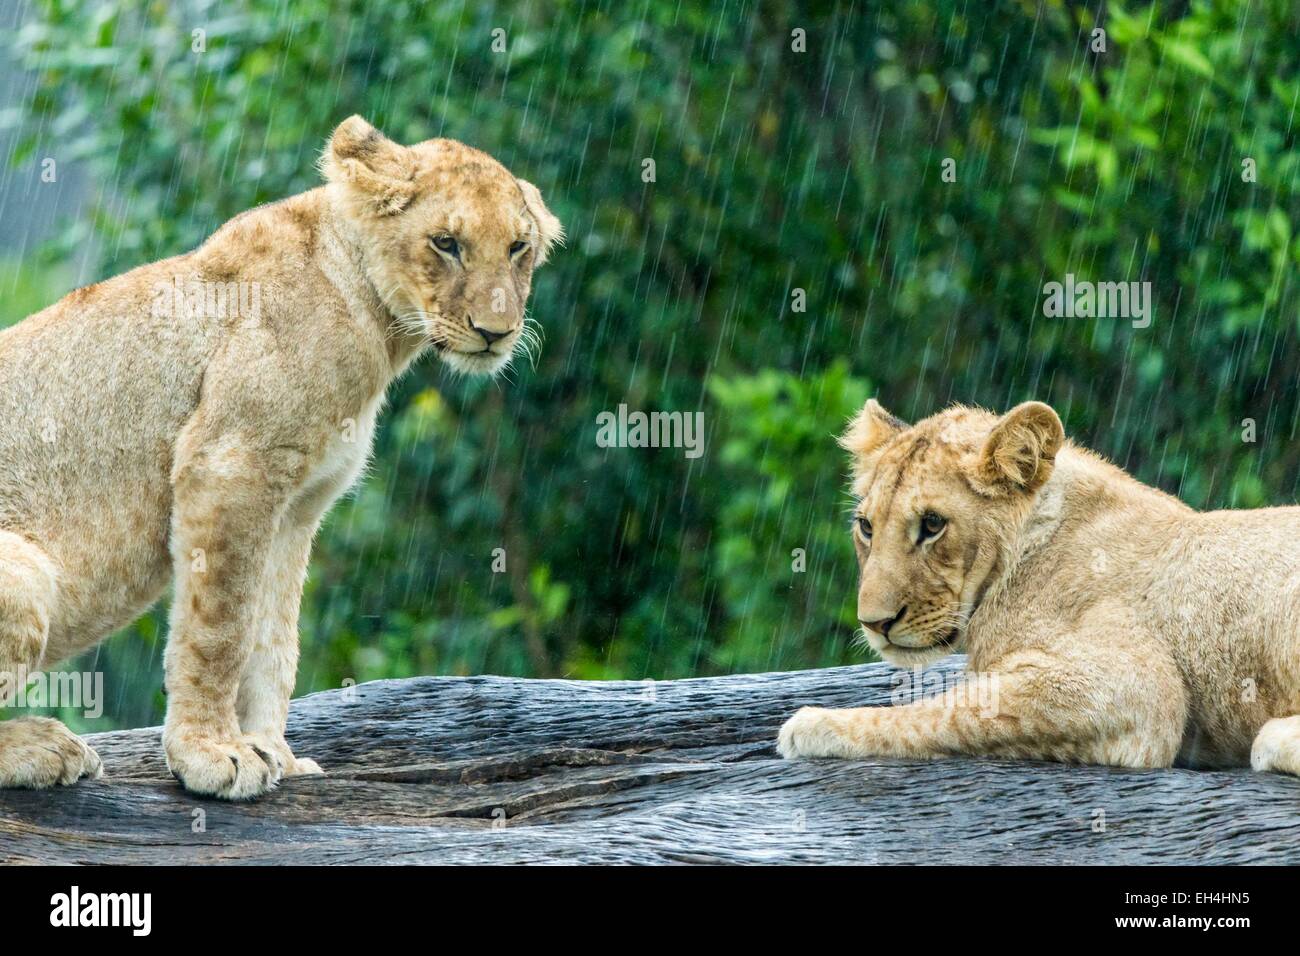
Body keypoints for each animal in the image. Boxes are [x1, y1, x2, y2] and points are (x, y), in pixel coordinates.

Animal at [0, 116, 562, 799]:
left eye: (517, 248)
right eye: (447, 243)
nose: (496, 331)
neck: (375, 322)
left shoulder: (296, 507)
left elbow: (273, 642)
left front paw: (276, 755)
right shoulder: (230, 465)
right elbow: (220, 629)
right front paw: (212, 754)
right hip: (24, 576)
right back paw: (46, 747)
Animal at [778, 399, 1300, 778]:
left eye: (932, 524)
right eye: (866, 526)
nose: (875, 623)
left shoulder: (1137, 689)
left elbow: (944, 713)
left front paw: (815, 725)